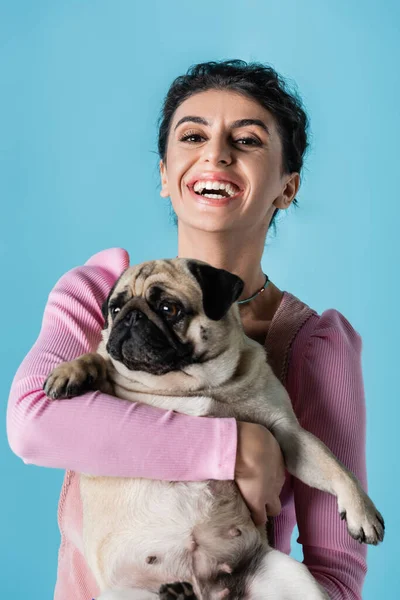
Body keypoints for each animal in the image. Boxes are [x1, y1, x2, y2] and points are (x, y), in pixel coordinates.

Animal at [43, 258, 384, 600]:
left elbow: (336, 467)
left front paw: (362, 513)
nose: (131, 316)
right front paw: (70, 372)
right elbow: (97, 359)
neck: (191, 384)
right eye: (115, 308)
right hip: (118, 594)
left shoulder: (289, 434)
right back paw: (177, 594)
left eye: (168, 308)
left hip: (293, 577)